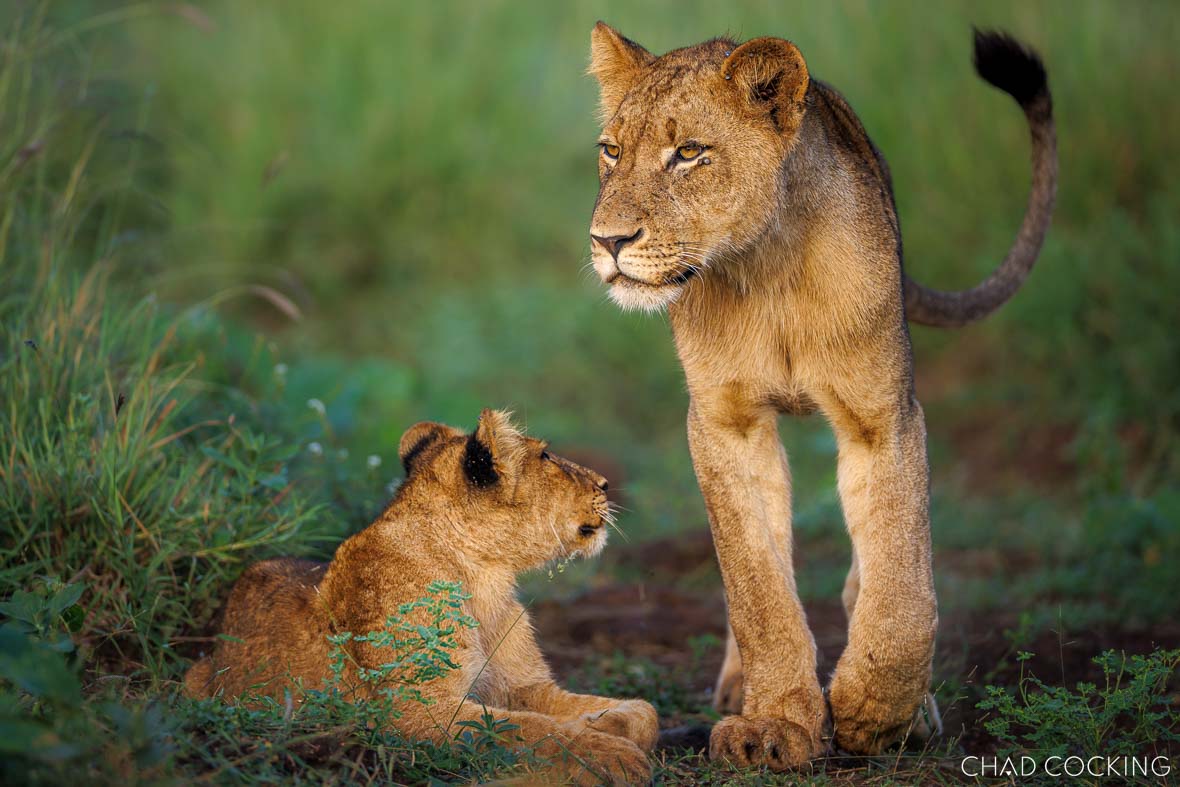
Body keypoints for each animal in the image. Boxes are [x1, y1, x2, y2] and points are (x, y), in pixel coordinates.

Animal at [184, 409, 658, 784]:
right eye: (545, 457)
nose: (606, 483)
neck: (486, 576)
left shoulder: (519, 687)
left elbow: (644, 712)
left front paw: (608, 723)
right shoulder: (417, 710)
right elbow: (534, 731)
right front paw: (613, 755)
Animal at [586, 23, 1055, 769]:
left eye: (688, 153)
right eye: (611, 150)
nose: (607, 241)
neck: (764, 266)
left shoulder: (883, 417)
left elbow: (900, 581)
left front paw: (876, 714)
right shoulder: (724, 423)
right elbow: (758, 590)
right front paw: (776, 721)